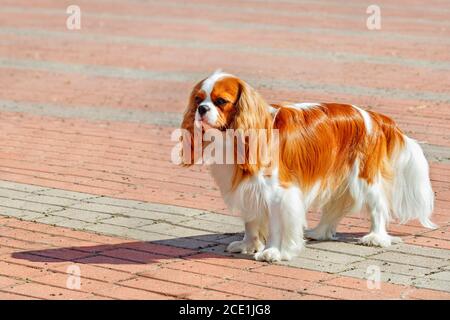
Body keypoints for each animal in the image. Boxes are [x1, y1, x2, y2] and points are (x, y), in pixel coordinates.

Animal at [179, 69, 436, 262]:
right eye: (198, 99)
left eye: (221, 102)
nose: (202, 109)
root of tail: (374, 117)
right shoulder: (249, 189)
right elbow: (251, 221)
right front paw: (249, 245)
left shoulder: (277, 193)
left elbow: (276, 225)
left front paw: (272, 252)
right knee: (334, 207)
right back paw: (320, 232)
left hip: (364, 178)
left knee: (378, 207)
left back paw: (376, 237)